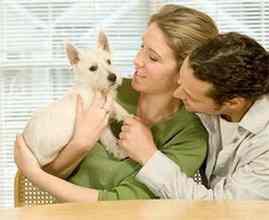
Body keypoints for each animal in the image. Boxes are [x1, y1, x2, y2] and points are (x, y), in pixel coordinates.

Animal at [22, 31, 129, 165]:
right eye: (93, 68)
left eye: (109, 61)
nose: (113, 77)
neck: (92, 87)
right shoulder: (98, 122)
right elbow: (109, 135)